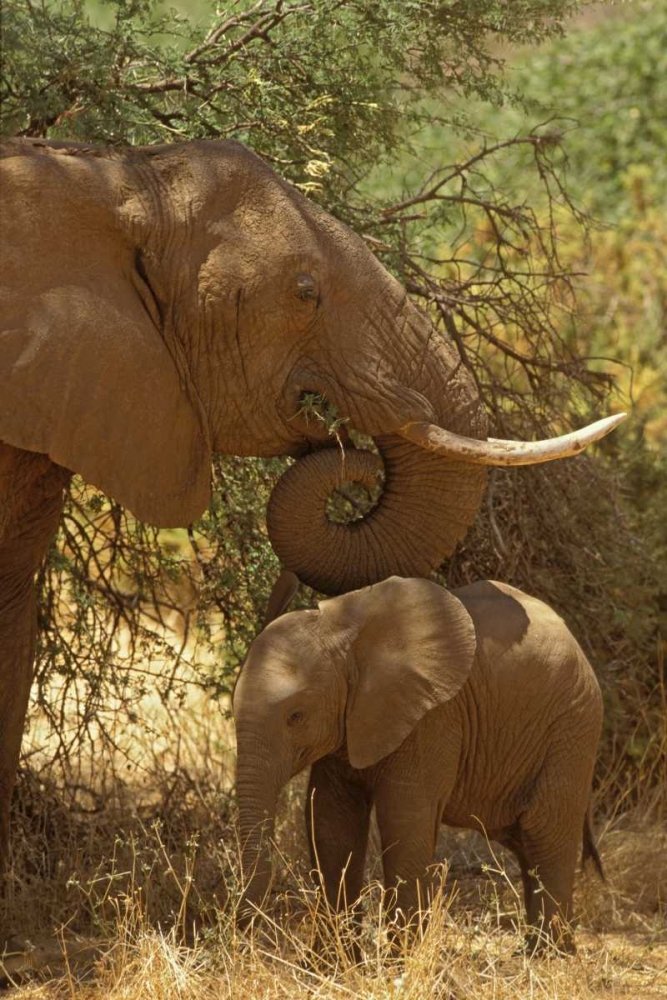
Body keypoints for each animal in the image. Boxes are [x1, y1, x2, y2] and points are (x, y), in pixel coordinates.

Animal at [235, 576, 604, 948]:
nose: (247, 933)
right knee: (523, 840)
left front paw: (400, 957)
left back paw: (548, 954)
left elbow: (404, 819)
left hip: (572, 727)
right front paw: (333, 960)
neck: (344, 633)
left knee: (545, 832)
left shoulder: (432, 717)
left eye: (296, 717)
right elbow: (331, 821)